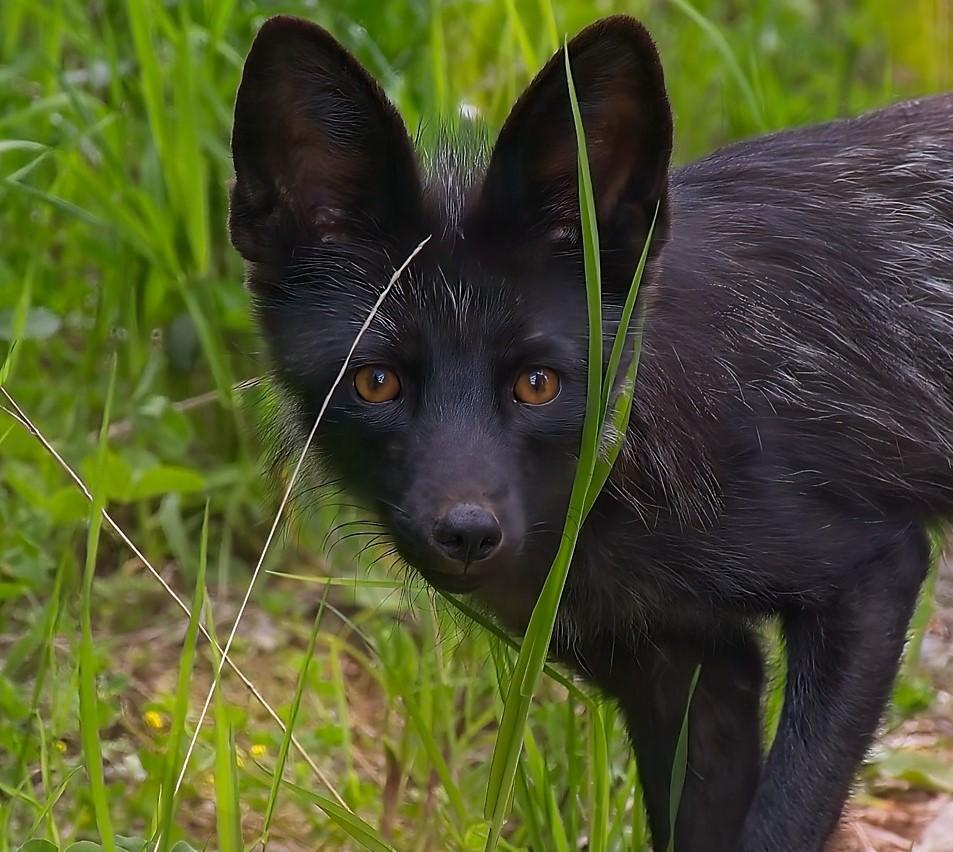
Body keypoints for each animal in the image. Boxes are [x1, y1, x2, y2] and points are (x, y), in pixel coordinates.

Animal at [228, 13, 953, 852]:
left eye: (537, 384)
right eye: (376, 381)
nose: (466, 533)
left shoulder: (868, 570)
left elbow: (781, 822)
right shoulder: (683, 661)